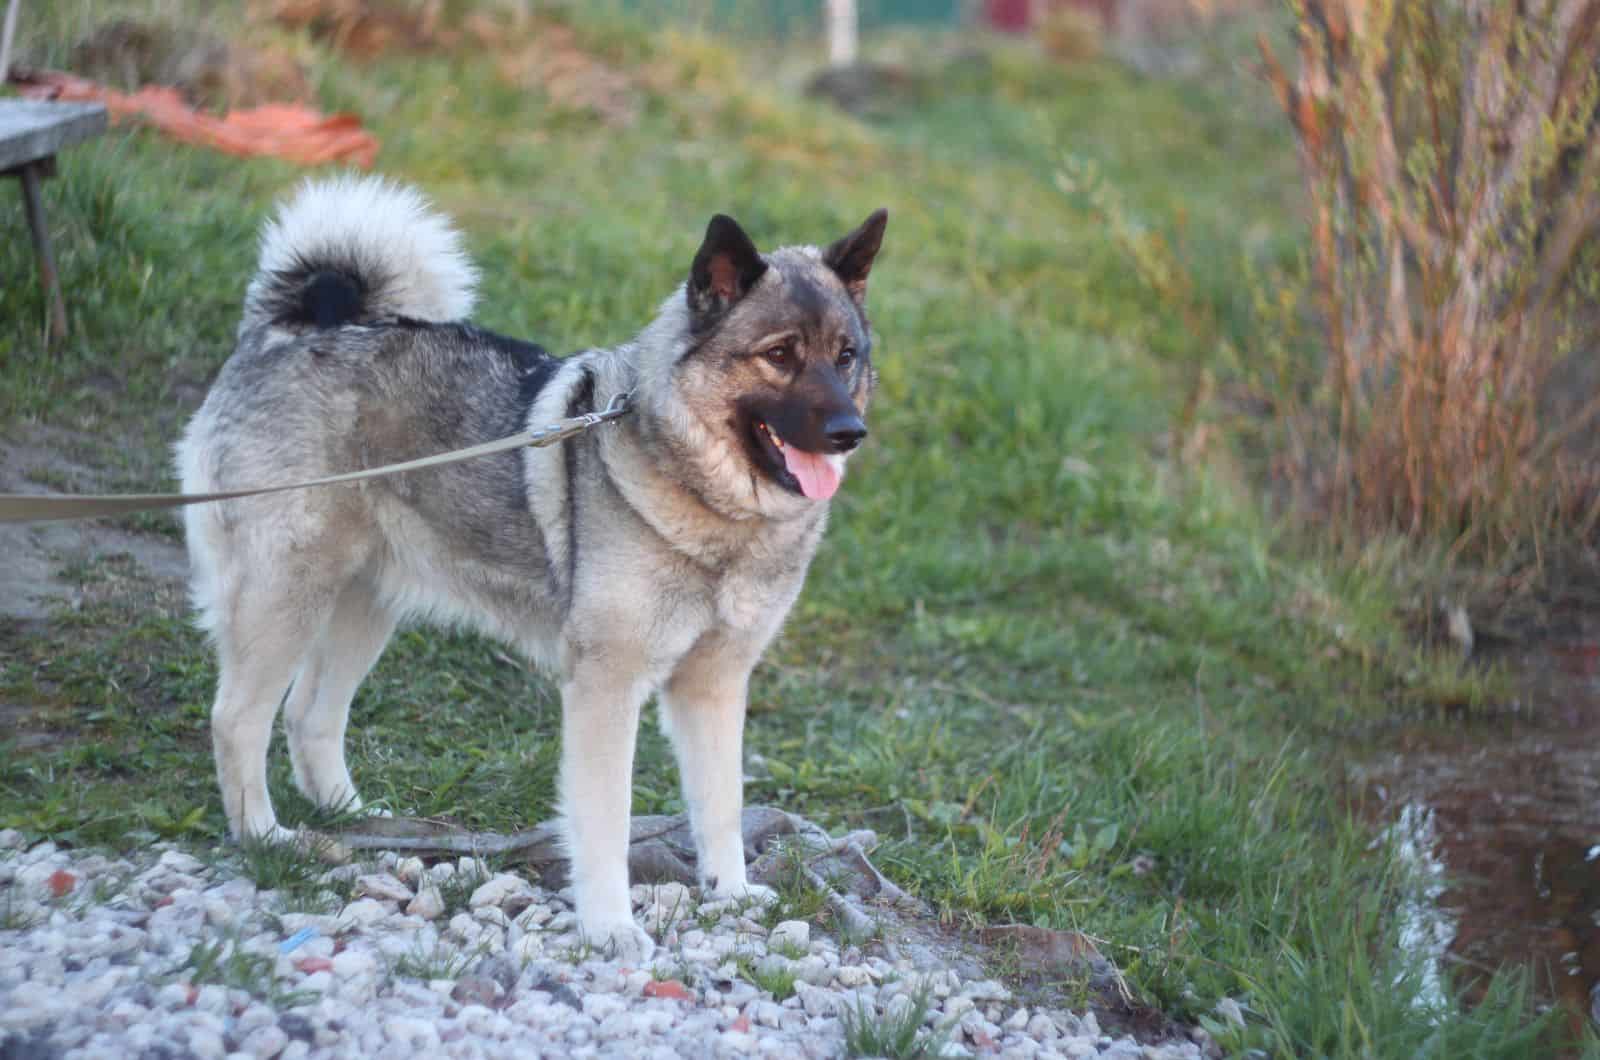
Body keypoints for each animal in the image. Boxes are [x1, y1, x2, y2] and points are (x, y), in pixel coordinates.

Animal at [175, 176, 889, 960]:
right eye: (780, 354)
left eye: (845, 355)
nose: (850, 433)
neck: (717, 510)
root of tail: (291, 327)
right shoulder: (606, 687)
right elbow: (605, 818)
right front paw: (610, 925)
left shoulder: (714, 685)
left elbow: (722, 802)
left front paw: (728, 891)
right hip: (286, 595)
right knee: (237, 719)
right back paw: (265, 837)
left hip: (364, 604)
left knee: (309, 714)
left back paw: (361, 822)